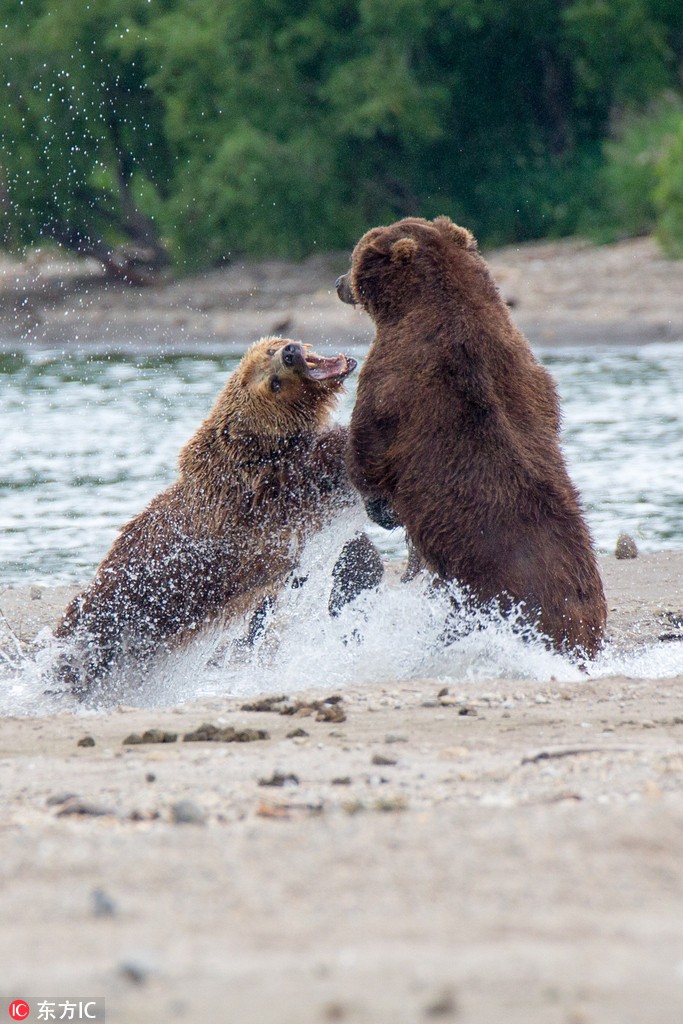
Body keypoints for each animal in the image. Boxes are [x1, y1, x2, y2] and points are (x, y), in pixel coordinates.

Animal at [55, 335, 382, 696]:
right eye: (274, 382)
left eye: (271, 352)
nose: (290, 353)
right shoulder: (273, 491)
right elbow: (328, 463)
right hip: (124, 613)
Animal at [335, 219, 610, 659]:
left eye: (354, 254)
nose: (338, 282)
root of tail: (580, 636)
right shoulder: (523, 365)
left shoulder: (395, 374)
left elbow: (369, 443)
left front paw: (380, 507)